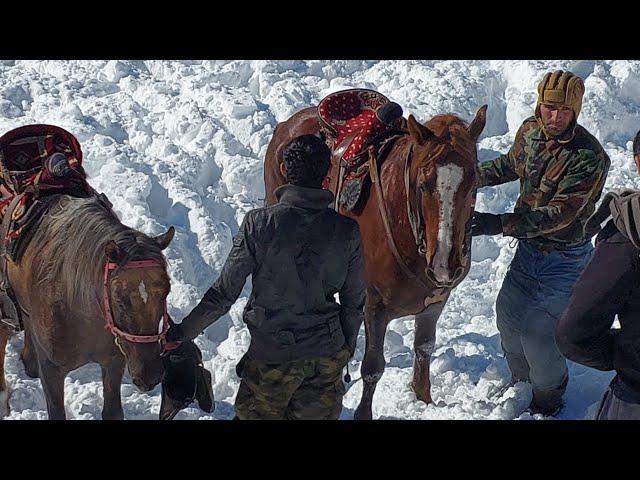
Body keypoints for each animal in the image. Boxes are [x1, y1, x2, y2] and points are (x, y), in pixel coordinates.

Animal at [0, 193, 175, 418]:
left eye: (166, 291)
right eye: (119, 299)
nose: (150, 375)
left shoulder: (114, 362)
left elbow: (112, 412)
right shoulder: (51, 370)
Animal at [264, 103, 484, 418]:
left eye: (473, 182)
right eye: (423, 184)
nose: (445, 264)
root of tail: (288, 123)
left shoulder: (434, 303)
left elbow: (424, 348)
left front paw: (423, 401)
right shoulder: (374, 305)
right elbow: (373, 367)